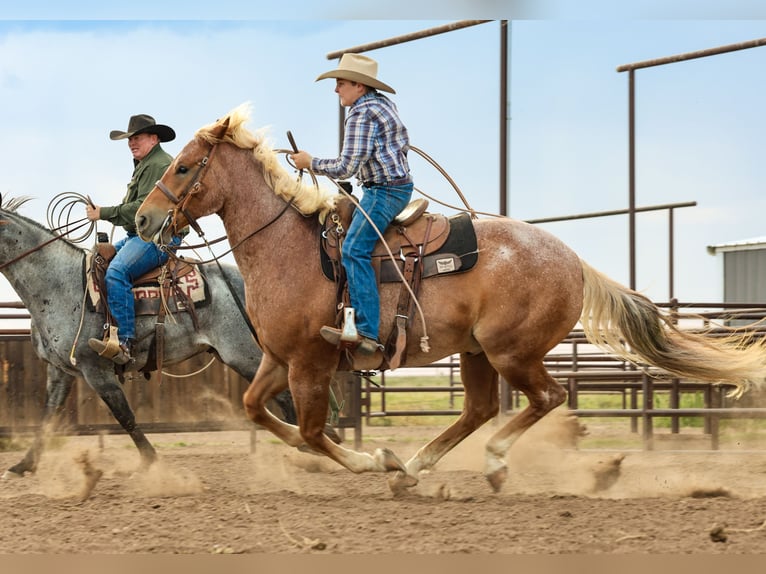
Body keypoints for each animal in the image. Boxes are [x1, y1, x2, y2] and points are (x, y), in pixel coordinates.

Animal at [0, 195, 297, 479]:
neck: (60, 282)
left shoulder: (95, 369)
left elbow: (124, 415)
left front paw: (151, 462)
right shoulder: (60, 370)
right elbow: (48, 416)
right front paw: (23, 465)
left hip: (243, 353)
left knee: (284, 395)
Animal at [135, 104, 766, 494]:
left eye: (184, 167)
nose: (142, 220)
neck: (289, 247)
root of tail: (571, 260)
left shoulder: (311, 362)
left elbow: (314, 431)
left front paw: (368, 458)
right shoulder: (276, 358)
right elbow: (257, 411)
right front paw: (364, 458)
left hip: (510, 350)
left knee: (546, 397)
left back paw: (483, 463)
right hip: (476, 351)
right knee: (480, 409)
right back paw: (412, 467)